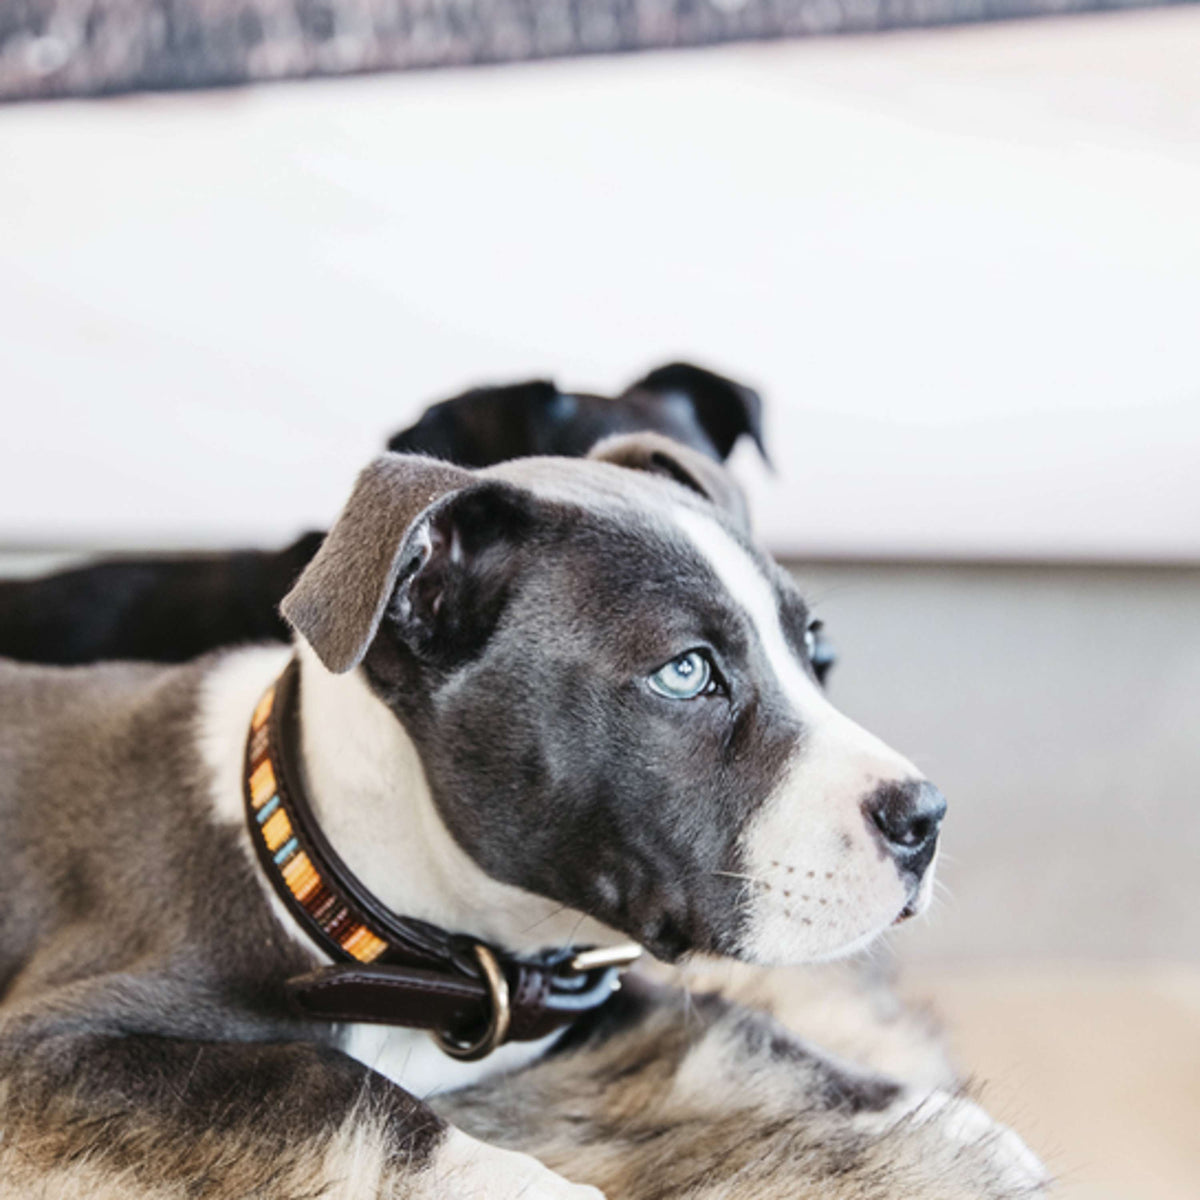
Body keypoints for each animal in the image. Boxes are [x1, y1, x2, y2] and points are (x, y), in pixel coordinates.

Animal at [0, 436, 1041, 1195]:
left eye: (816, 653)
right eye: (686, 672)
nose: (925, 817)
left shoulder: (585, 988)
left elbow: (740, 1025)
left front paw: (942, 1121)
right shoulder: (46, 1045)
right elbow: (324, 1079)